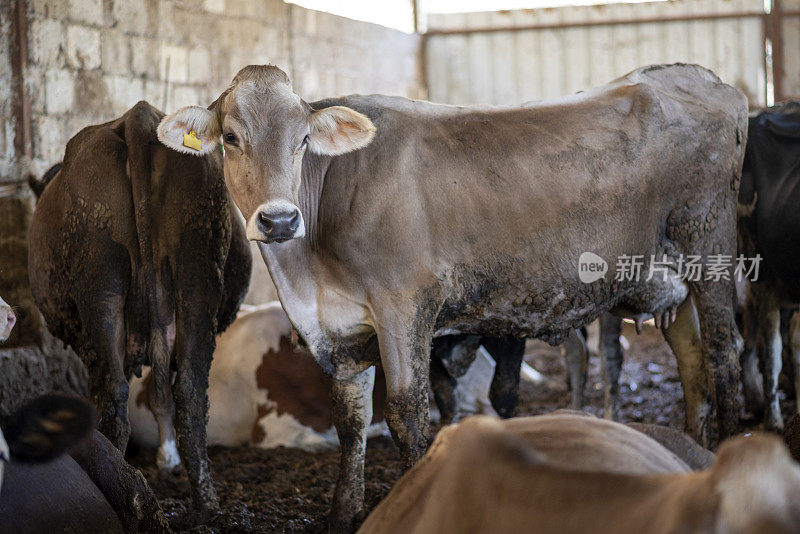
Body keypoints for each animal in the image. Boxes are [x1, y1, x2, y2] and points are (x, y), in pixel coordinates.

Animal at [26, 101, 250, 520]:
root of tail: (138, 116)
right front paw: (167, 459)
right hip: (199, 264)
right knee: (190, 390)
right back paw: (206, 504)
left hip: (100, 278)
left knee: (113, 393)